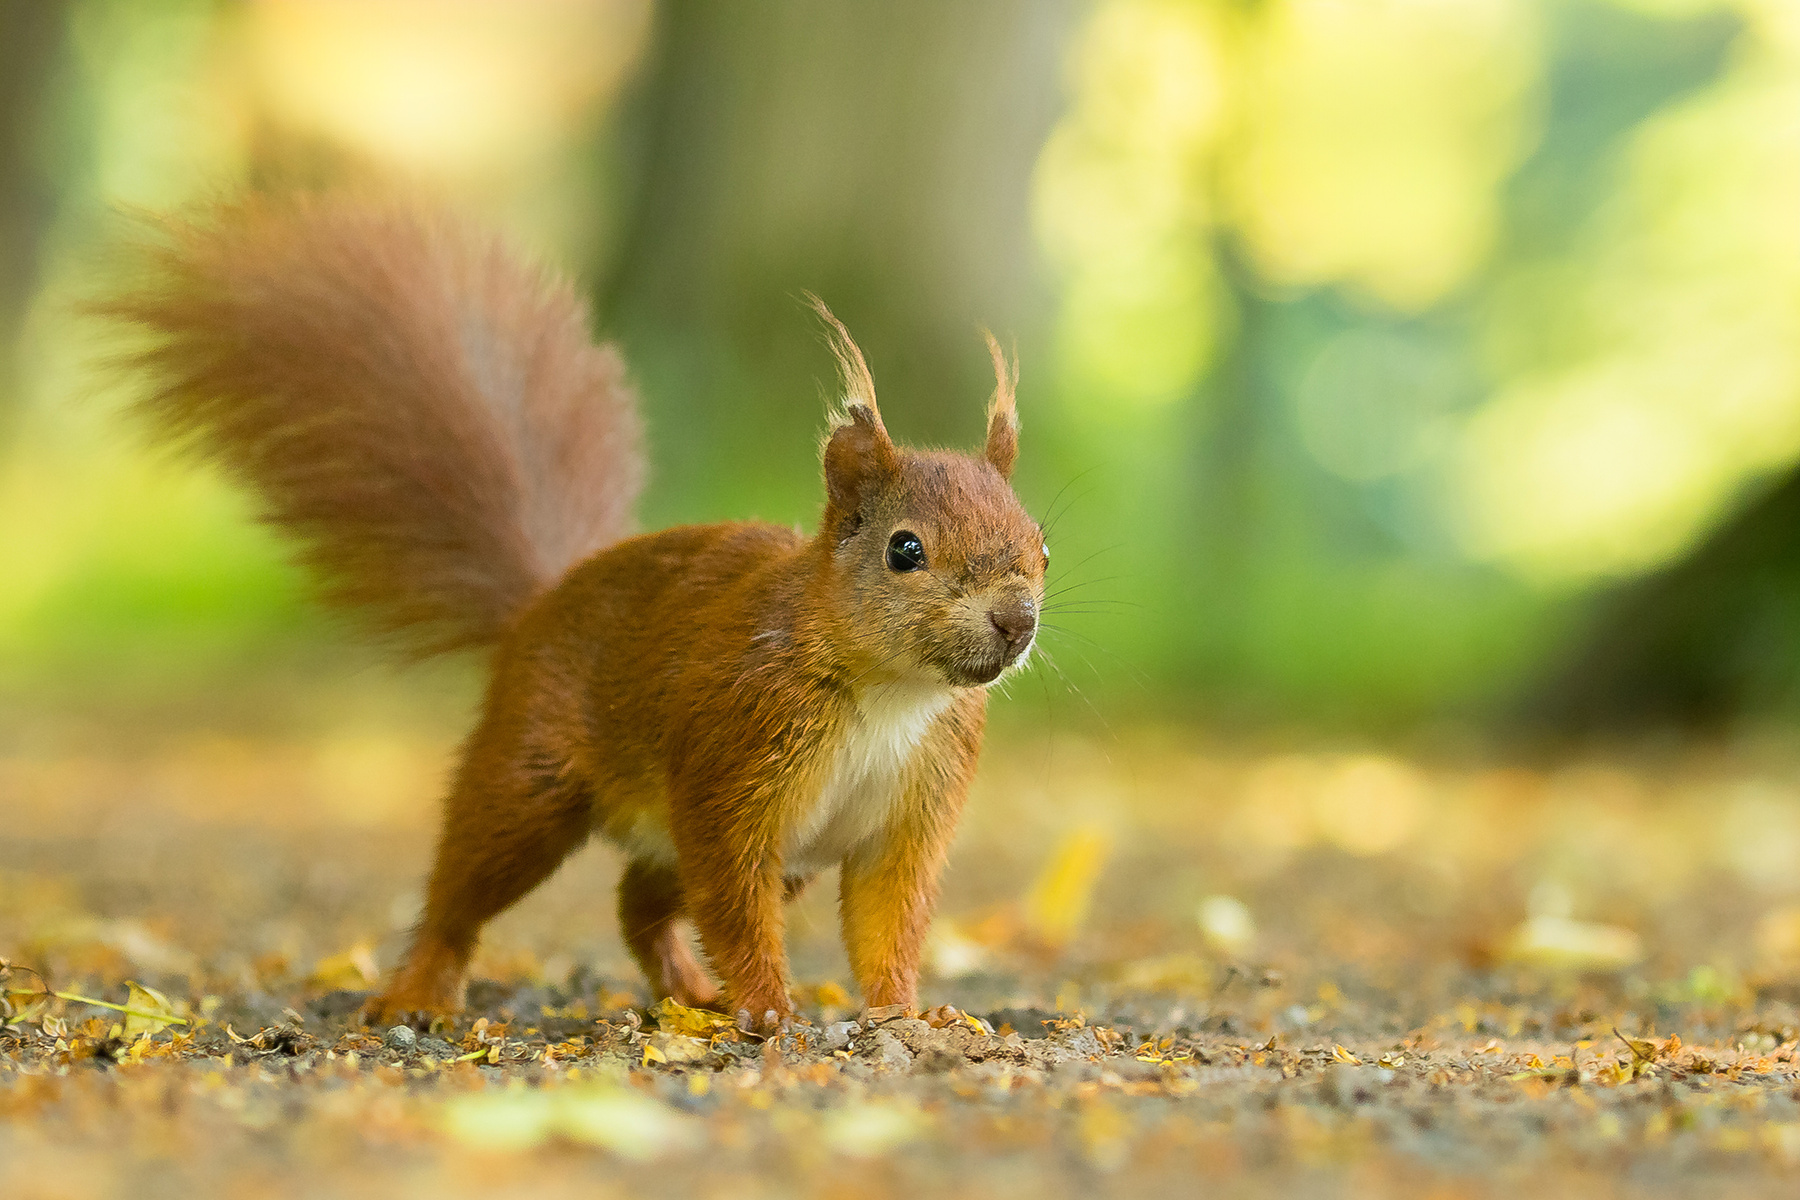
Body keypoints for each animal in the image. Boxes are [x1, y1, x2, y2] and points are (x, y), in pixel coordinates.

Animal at [107, 195, 1046, 1033]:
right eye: (904, 550)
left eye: (1041, 543)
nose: (1017, 621)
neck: (893, 694)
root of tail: (540, 601)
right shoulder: (736, 757)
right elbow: (734, 900)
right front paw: (767, 1006)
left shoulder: (914, 809)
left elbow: (889, 920)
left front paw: (909, 1012)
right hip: (530, 781)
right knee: (465, 888)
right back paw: (419, 991)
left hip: (751, 852)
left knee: (637, 900)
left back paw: (688, 994)